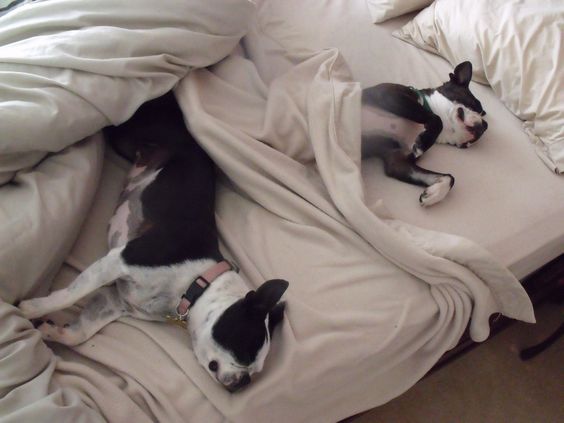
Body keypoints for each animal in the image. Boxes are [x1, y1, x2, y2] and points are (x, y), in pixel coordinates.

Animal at [18, 92, 290, 394]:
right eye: (245, 352)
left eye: (257, 370)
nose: (244, 383)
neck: (194, 282)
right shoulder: (120, 259)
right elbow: (71, 294)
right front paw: (32, 308)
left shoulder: (114, 300)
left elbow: (83, 331)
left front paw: (54, 331)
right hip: (126, 133)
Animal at [364, 61, 486, 207]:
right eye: (475, 106)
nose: (485, 126)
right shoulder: (387, 94)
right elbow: (437, 119)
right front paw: (424, 142)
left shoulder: (398, 162)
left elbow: (450, 178)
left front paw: (435, 193)